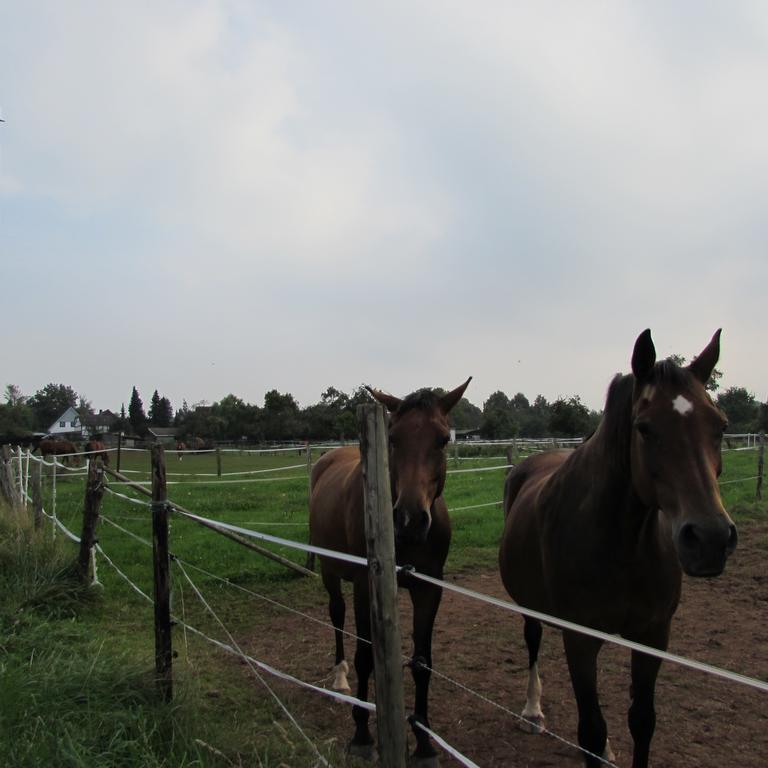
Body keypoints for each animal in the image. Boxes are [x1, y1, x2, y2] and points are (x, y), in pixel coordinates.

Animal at [308, 380, 472, 768]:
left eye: (442, 439)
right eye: (393, 437)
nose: (410, 519)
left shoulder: (430, 588)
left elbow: (423, 662)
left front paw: (424, 743)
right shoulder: (365, 586)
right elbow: (366, 656)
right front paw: (362, 735)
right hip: (330, 571)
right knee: (336, 615)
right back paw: (339, 678)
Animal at [498, 330, 736, 768]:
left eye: (720, 425)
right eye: (644, 427)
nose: (710, 538)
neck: (624, 541)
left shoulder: (653, 635)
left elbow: (642, 721)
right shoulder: (580, 639)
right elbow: (591, 730)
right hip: (530, 605)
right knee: (533, 641)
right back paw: (532, 712)